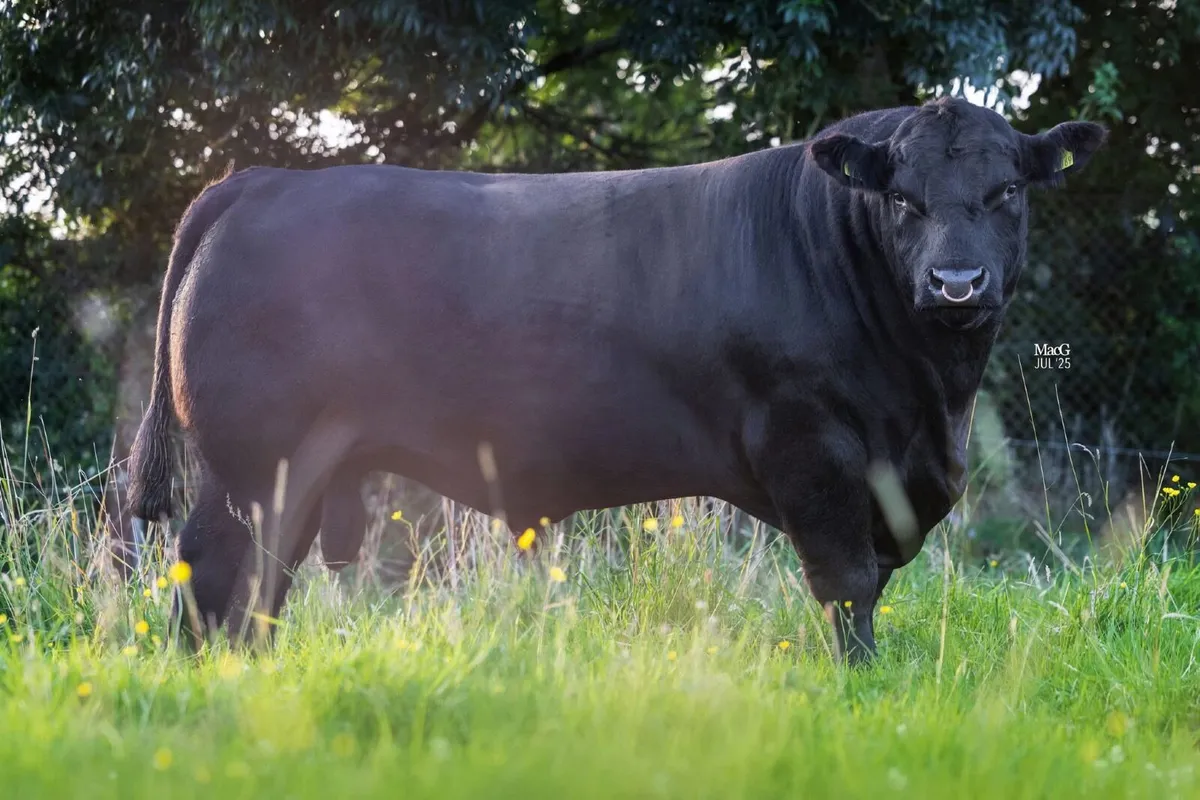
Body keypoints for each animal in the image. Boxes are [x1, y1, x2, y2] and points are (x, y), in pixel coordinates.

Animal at [126, 97, 1105, 663]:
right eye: (903, 199)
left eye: (1007, 193)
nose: (956, 283)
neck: (931, 402)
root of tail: (261, 180)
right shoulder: (814, 449)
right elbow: (848, 583)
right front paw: (857, 685)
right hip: (255, 463)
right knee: (216, 577)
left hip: (293, 474)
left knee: (259, 588)